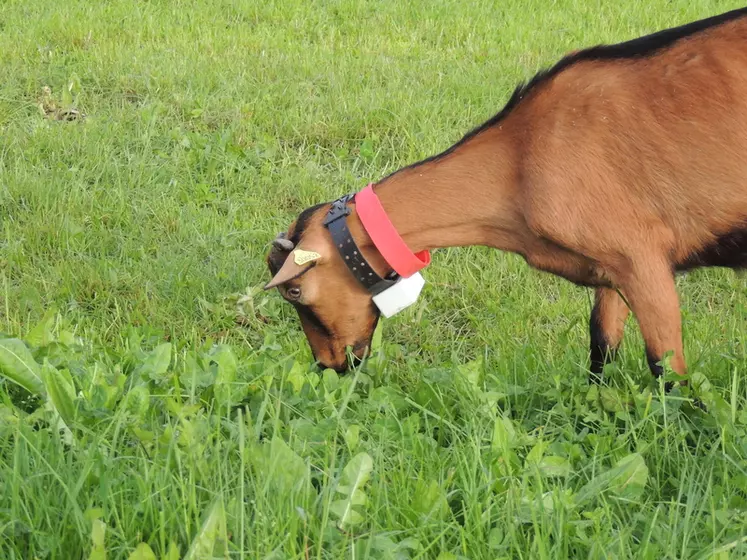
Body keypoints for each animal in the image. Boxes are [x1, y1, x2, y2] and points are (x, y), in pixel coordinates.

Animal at [262, 9, 747, 380]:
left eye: (294, 292)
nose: (330, 365)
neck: (520, 157)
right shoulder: (611, 268)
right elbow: (601, 347)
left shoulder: (644, 260)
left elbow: (668, 373)